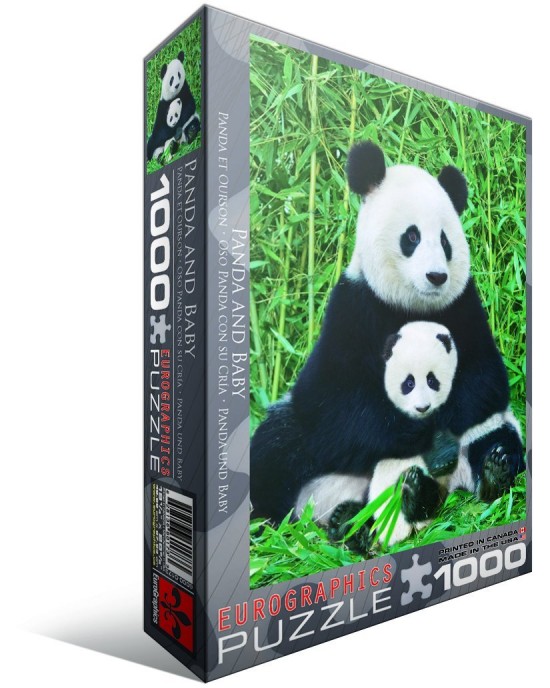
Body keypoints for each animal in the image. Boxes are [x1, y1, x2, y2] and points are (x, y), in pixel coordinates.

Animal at [327, 321, 459, 550]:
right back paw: (345, 523)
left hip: (432, 499)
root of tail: (394, 535)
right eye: (408, 383)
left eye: (432, 380)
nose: (422, 407)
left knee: (427, 501)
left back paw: (413, 492)